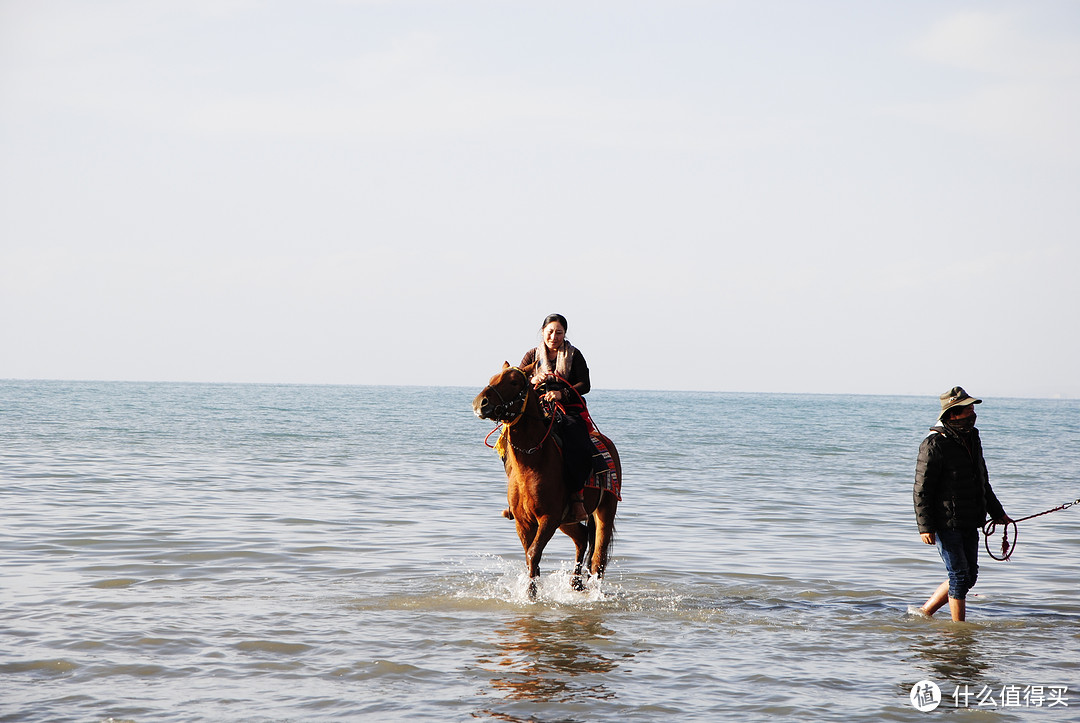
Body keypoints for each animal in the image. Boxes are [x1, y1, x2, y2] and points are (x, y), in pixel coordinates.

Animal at [470, 363, 617, 596]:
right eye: (492, 377)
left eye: (514, 382)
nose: (480, 403)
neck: (532, 464)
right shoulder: (523, 522)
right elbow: (531, 557)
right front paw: (532, 591)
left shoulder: (548, 519)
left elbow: (533, 554)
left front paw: (531, 595)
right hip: (567, 521)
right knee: (582, 537)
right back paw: (576, 583)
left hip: (605, 512)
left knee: (598, 560)